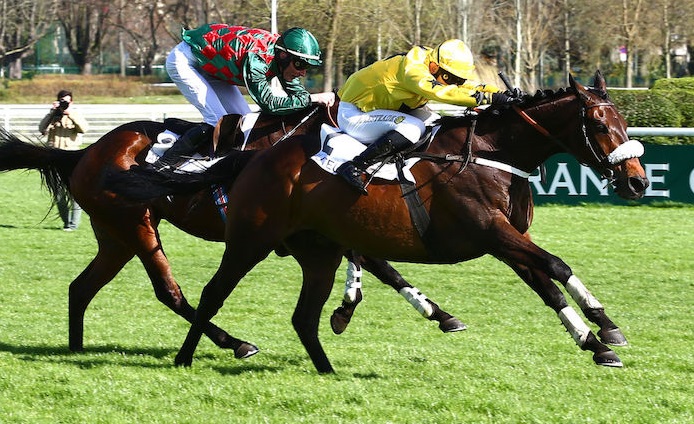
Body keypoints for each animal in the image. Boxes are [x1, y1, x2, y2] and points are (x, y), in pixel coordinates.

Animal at [1, 105, 468, 354]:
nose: (426, 137)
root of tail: (85, 154)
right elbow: (371, 260)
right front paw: (347, 307)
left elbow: (379, 264)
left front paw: (439, 314)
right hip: (136, 228)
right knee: (168, 292)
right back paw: (235, 342)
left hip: (115, 236)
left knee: (81, 287)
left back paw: (75, 346)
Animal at [109, 69, 652, 372]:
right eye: (598, 123)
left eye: (625, 121)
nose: (637, 181)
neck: (493, 153)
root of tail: (253, 158)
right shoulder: (489, 231)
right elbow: (557, 267)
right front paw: (605, 330)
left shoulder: (508, 237)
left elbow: (547, 285)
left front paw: (595, 339)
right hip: (250, 239)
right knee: (211, 292)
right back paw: (194, 356)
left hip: (313, 249)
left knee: (303, 311)